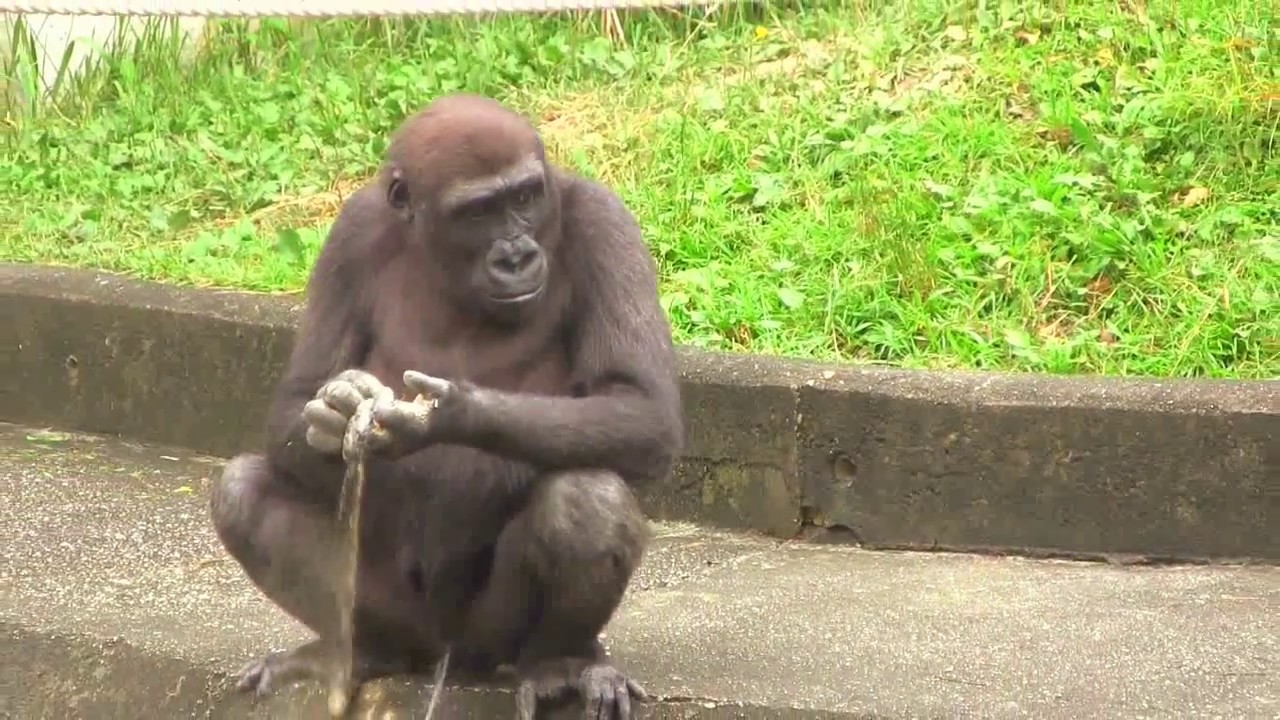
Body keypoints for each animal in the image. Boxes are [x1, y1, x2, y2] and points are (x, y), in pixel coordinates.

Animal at [208, 93, 683, 720]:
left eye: (524, 198)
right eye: (479, 211)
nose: (516, 256)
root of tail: (447, 661)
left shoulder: (605, 224)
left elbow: (640, 404)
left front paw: (450, 412)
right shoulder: (352, 233)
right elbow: (300, 394)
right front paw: (334, 415)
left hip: (486, 639)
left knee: (586, 501)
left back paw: (560, 663)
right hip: (407, 627)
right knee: (243, 493)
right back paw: (364, 653)